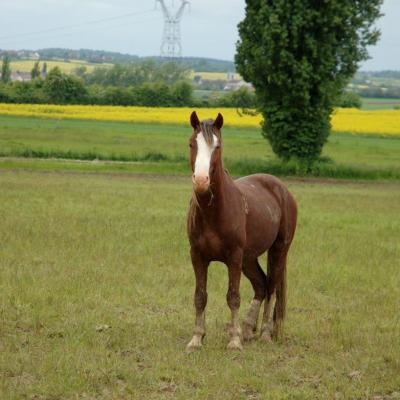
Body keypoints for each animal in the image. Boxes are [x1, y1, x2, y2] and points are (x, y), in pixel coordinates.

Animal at [185, 111, 296, 352]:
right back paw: (247, 329)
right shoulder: (197, 256)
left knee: (272, 287)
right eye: (191, 143)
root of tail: (281, 189)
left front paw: (234, 341)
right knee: (261, 285)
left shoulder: (234, 257)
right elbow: (200, 296)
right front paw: (196, 339)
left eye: (217, 146)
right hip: (249, 258)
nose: (201, 181)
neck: (214, 211)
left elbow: (233, 296)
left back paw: (264, 333)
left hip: (278, 250)